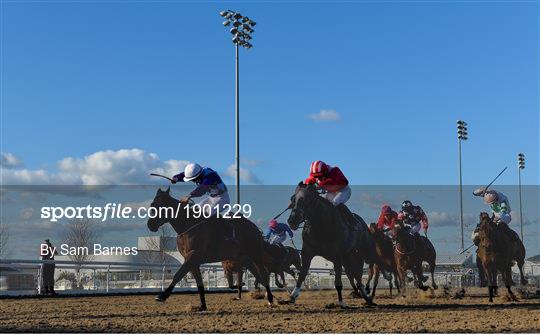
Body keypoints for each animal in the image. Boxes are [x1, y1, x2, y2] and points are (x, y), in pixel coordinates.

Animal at [146, 188, 274, 312]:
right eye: (152, 205)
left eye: (162, 206)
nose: (150, 224)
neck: (189, 225)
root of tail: (256, 229)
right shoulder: (193, 261)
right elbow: (199, 283)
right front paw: (202, 306)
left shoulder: (193, 256)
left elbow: (178, 275)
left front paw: (162, 296)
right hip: (244, 258)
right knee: (258, 274)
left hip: (256, 254)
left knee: (264, 274)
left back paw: (270, 299)